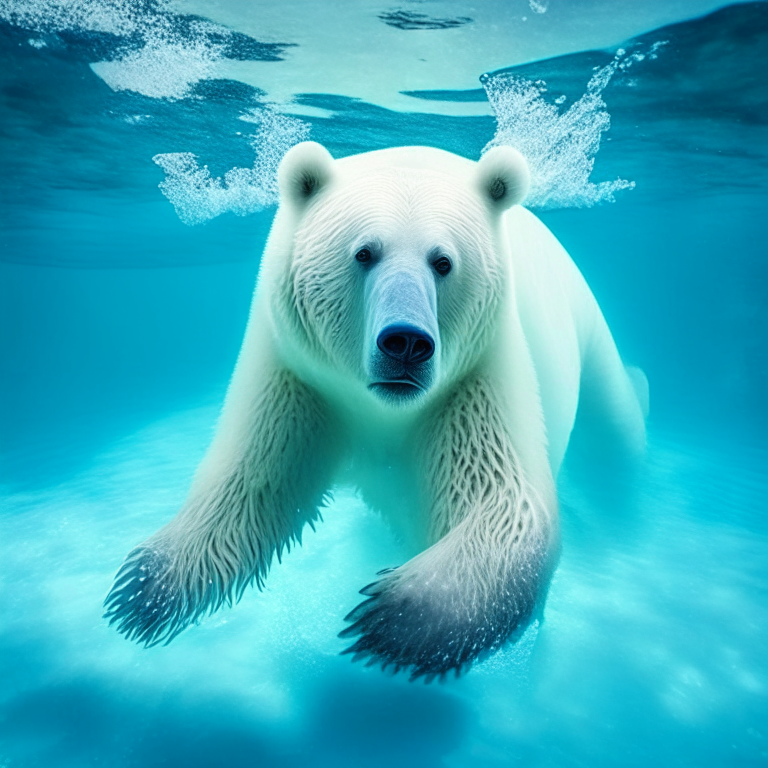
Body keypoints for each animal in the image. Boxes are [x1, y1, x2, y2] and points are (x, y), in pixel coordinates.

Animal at [103, 141, 640, 680]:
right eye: (364, 252)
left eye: (443, 261)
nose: (406, 343)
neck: (383, 407)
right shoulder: (298, 377)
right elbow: (250, 484)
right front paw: (147, 589)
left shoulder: (472, 381)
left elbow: (508, 507)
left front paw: (388, 619)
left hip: (585, 321)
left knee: (615, 425)